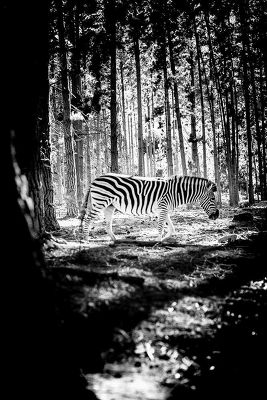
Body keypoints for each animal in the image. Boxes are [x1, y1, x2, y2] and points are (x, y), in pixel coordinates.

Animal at [79, 173, 220, 241]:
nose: (217, 215)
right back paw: (86, 239)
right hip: (100, 202)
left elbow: (172, 229)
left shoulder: (163, 209)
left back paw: (115, 240)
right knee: (88, 219)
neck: (176, 192)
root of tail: (94, 179)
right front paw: (157, 241)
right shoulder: (163, 207)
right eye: (213, 199)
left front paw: (162, 240)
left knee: (107, 225)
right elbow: (161, 227)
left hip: (110, 206)